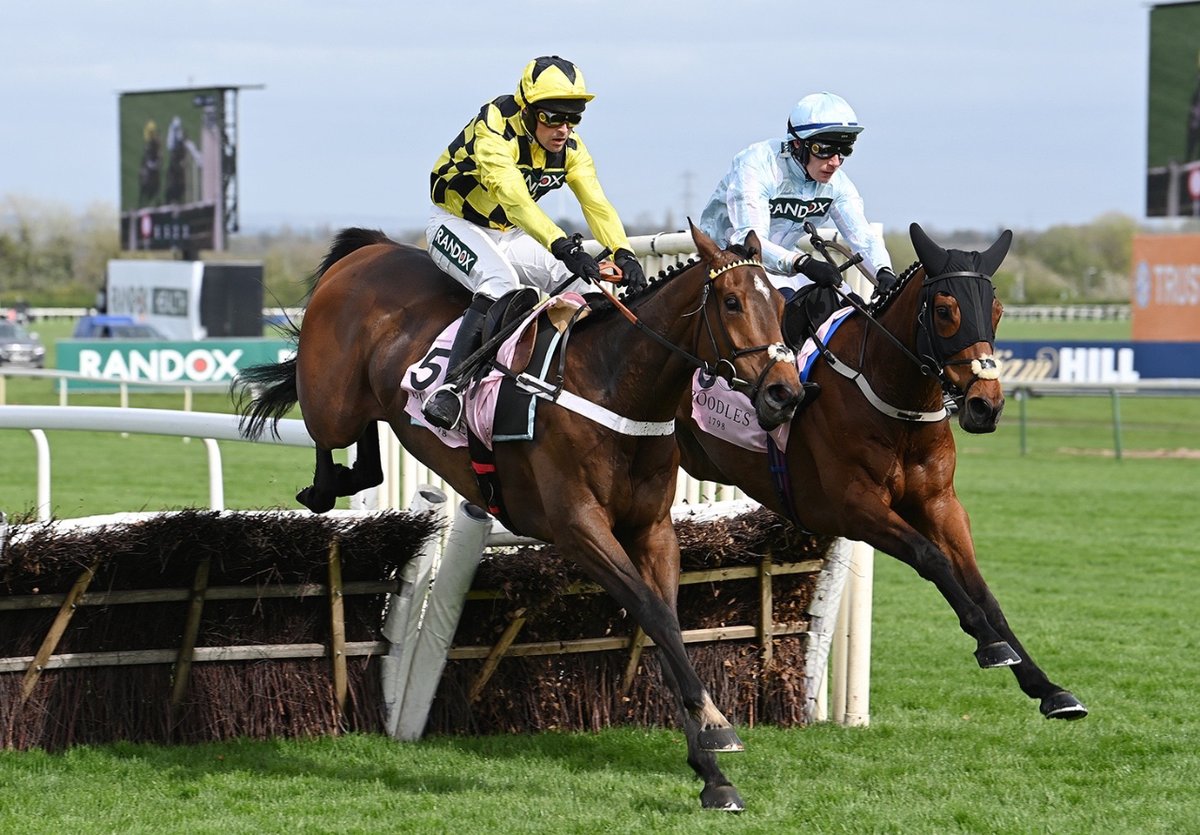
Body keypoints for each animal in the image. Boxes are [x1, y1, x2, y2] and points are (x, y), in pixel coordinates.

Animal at [234, 221, 801, 811]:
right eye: (732, 302)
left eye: (782, 304)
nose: (785, 392)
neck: (615, 385)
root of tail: (373, 248)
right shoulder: (578, 528)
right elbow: (655, 615)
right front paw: (718, 726)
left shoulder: (652, 531)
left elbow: (665, 626)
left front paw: (712, 772)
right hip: (333, 400)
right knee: (328, 430)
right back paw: (329, 483)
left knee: (369, 452)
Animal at [676, 225, 1089, 719]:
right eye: (946, 311)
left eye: (998, 310)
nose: (985, 406)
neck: (896, 405)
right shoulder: (854, 508)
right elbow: (932, 560)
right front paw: (990, 645)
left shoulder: (941, 504)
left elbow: (981, 588)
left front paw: (1047, 687)